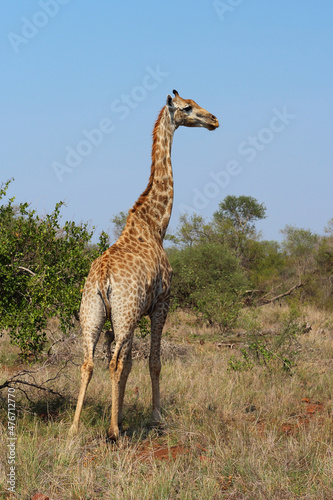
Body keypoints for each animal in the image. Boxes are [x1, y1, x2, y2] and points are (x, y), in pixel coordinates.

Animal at [69, 91, 218, 442]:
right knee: (112, 363)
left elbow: (130, 365)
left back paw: (74, 427)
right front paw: (155, 418)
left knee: (88, 363)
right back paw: (112, 432)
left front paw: (122, 414)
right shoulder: (161, 304)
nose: (214, 120)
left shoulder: (134, 314)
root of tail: (102, 278)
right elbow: (153, 362)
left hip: (93, 313)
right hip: (123, 313)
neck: (155, 225)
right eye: (188, 107)